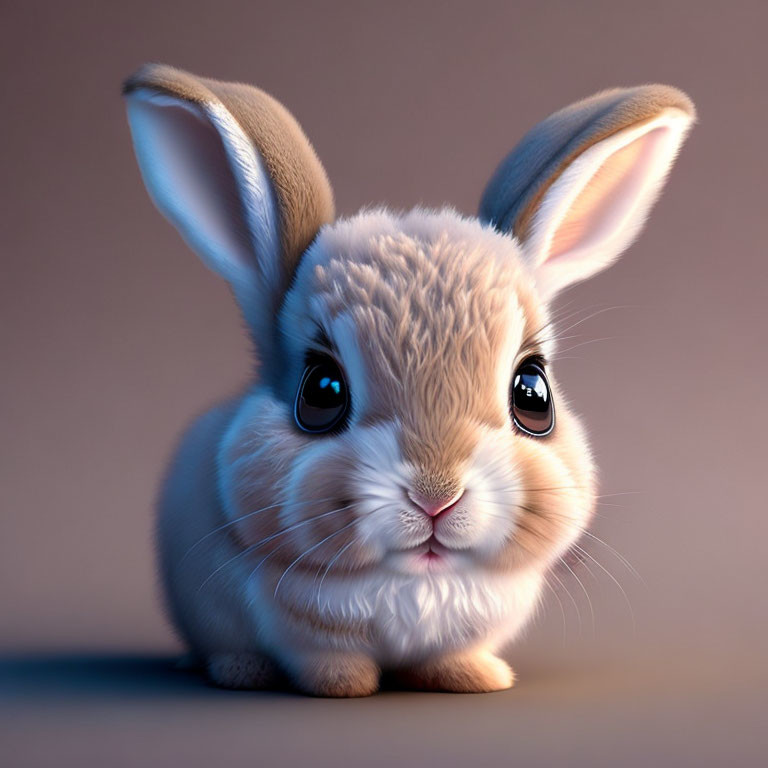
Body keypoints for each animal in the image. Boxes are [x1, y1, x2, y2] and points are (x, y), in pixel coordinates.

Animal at [121, 64, 696, 696]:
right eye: (321, 392)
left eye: (533, 394)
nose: (436, 495)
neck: (420, 581)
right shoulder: (297, 630)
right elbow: (323, 657)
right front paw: (343, 685)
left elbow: (450, 655)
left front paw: (478, 677)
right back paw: (241, 671)